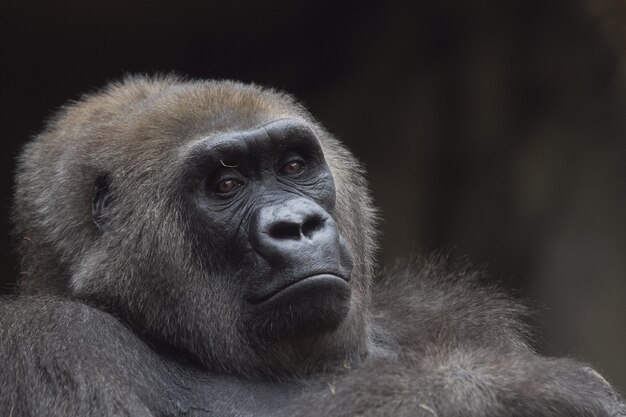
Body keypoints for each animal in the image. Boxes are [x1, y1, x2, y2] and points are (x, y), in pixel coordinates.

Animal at [0, 75, 620, 416]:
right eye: (226, 185)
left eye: (293, 166)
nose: (298, 225)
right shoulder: (47, 340)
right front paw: (513, 389)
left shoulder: (439, 311)